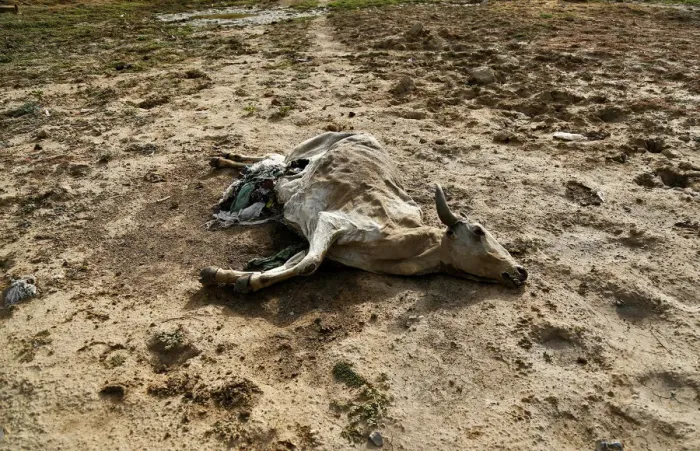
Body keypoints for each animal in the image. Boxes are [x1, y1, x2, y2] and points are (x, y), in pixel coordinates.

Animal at [200, 132, 528, 292]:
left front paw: (237, 278)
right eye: (478, 231)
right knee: (278, 158)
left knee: (278, 163)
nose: (521, 271)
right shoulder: (331, 222)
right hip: (304, 148)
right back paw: (226, 158)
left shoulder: (319, 242)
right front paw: (227, 277)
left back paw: (227, 159)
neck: (402, 237)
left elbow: (296, 263)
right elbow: (309, 265)